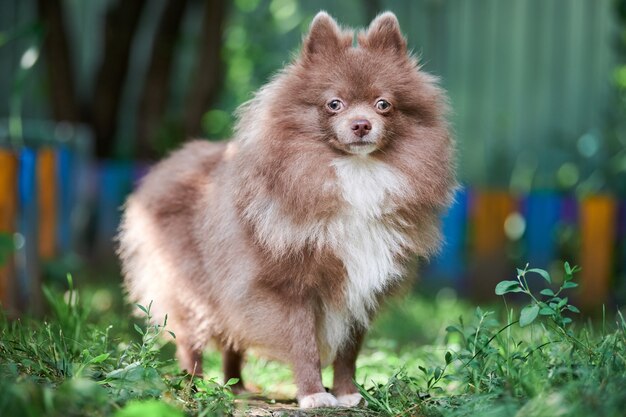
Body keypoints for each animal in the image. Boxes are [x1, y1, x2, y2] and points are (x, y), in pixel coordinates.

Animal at [117, 11, 450, 408]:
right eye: (334, 104)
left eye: (383, 104)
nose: (361, 124)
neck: (355, 175)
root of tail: (164, 168)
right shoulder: (292, 286)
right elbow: (304, 344)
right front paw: (314, 395)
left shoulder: (360, 287)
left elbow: (349, 350)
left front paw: (347, 393)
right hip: (191, 289)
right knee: (190, 342)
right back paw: (193, 388)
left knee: (231, 341)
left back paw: (236, 387)